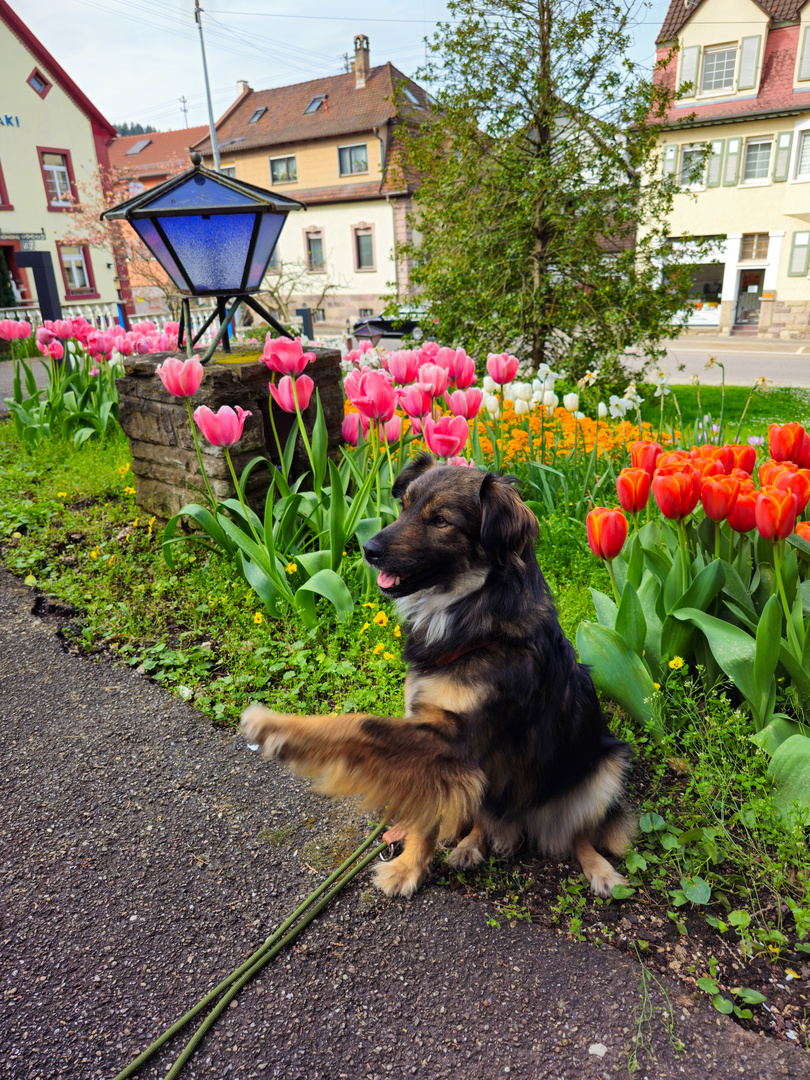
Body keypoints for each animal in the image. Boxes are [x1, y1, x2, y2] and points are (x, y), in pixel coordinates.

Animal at [240, 455, 635, 902]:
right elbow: (423, 809)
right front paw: (409, 866)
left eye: (441, 520)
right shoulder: (436, 745)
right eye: (404, 506)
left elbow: (357, 723)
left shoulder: (452, 743)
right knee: (485, 816)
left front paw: (277, 727)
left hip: (607, 768)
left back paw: (601, 870)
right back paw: (470, 844)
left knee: (580, 833)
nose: (368, 550)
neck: (472, 620)